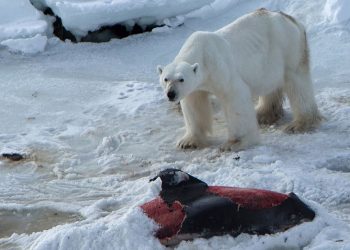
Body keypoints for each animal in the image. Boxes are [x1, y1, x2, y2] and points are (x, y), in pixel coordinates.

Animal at [157, 8, 322, 151]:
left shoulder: (219, 68)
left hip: (288, 48)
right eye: (166, 79)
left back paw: (299, 123)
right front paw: (187, 142)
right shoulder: (195, 87)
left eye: (181, 79)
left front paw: (234, 143)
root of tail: (290, 18)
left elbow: (234, 96)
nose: (171, 94)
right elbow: (194, 105)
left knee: (297, 83)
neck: (200, 52)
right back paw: (263, 113)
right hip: (268, 61)